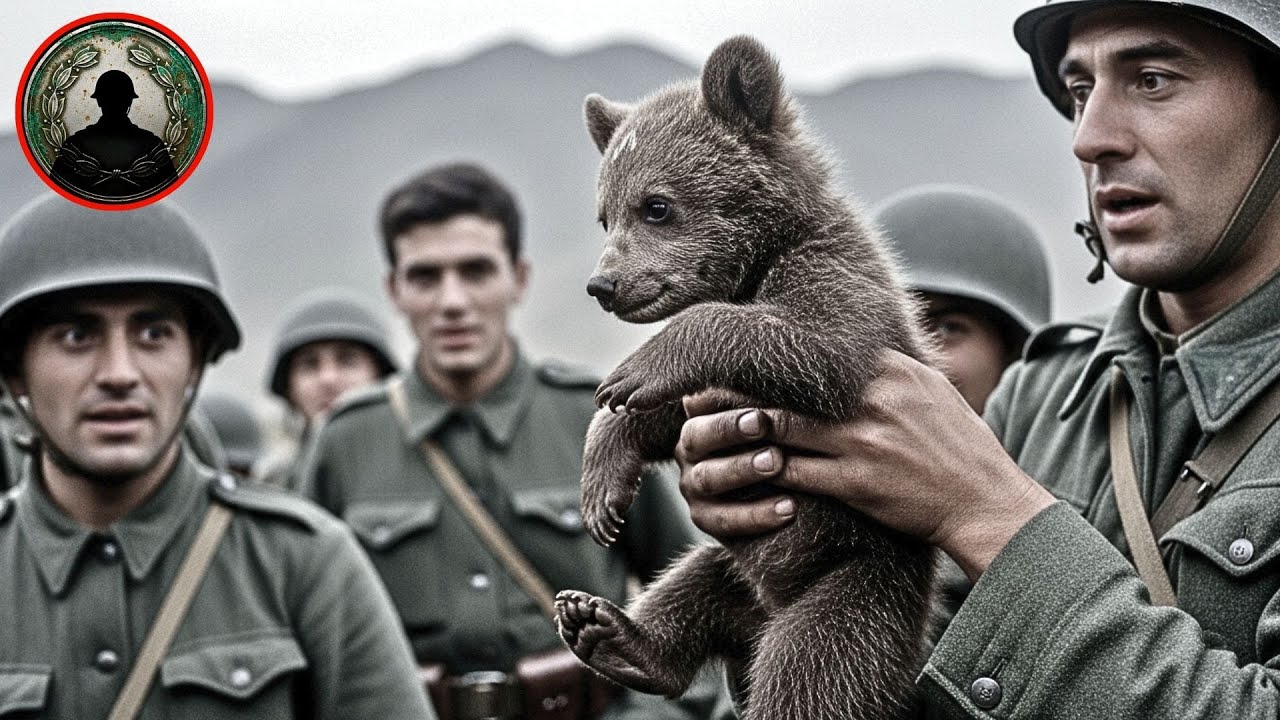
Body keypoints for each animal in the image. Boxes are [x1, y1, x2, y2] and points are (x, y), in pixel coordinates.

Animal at [552, 35, 938, 720]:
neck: (758, 259)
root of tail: (764, 610)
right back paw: (612, 632)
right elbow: (665, 415)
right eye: (604, 216)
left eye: (656, 205)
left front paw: (632, 370)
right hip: (733, 567)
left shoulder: (835, 278)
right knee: (691, 583)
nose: (603, 284)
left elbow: (818, 344)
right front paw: (603, 481)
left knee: (814, 668)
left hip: (860, 577)